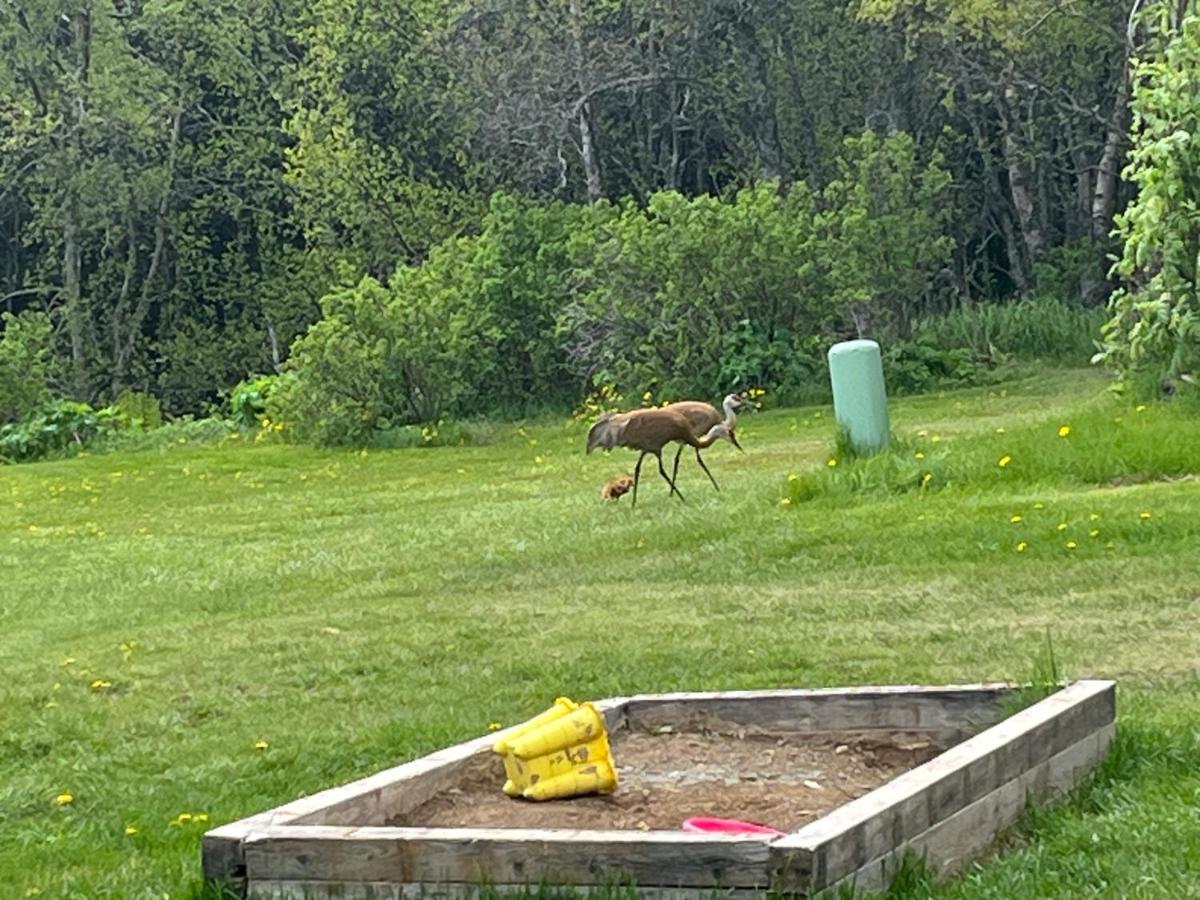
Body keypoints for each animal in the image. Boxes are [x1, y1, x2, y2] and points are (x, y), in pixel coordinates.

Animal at [586, 408, 734, 508]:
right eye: (730, 433)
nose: (735, 443)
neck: (681, 430)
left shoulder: (645, 449)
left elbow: (637, 469)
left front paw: (634, 502)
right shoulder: (656, 446)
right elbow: (662, 471)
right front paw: (681, 497)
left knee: (637, 469)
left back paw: (633, 503)